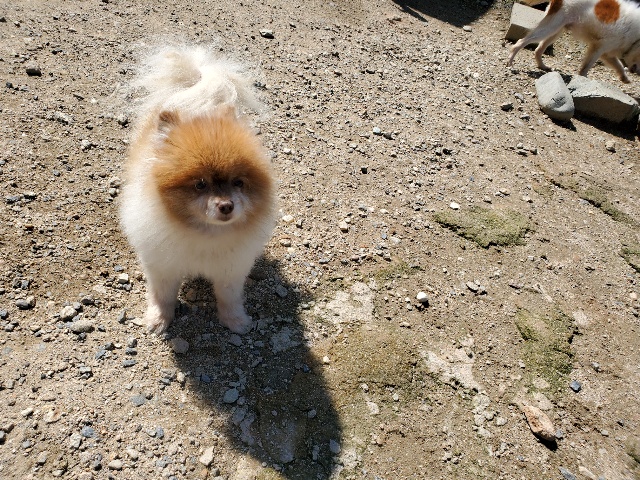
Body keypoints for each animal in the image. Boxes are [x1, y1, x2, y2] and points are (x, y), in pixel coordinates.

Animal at [119, 45, 276, 335]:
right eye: (200, 184)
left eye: (238, 182)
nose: (226, 206)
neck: (204, 233)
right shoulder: (163, 265)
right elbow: (162, 295)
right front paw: (159, 319)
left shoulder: (231, 269)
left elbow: (228, 297)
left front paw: (235, 321)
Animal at [508, 0, 640, 83]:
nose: (638, 73)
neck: (636, 38)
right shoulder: (598, 48)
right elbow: (586, 67)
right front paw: (583, 79)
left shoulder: (606, 53)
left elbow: (619, 65)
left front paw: (625, 78)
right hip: (551, 28)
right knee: (521, 42)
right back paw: (510, 62)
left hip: (556, 31)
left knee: (538, 49)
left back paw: (542, 66)